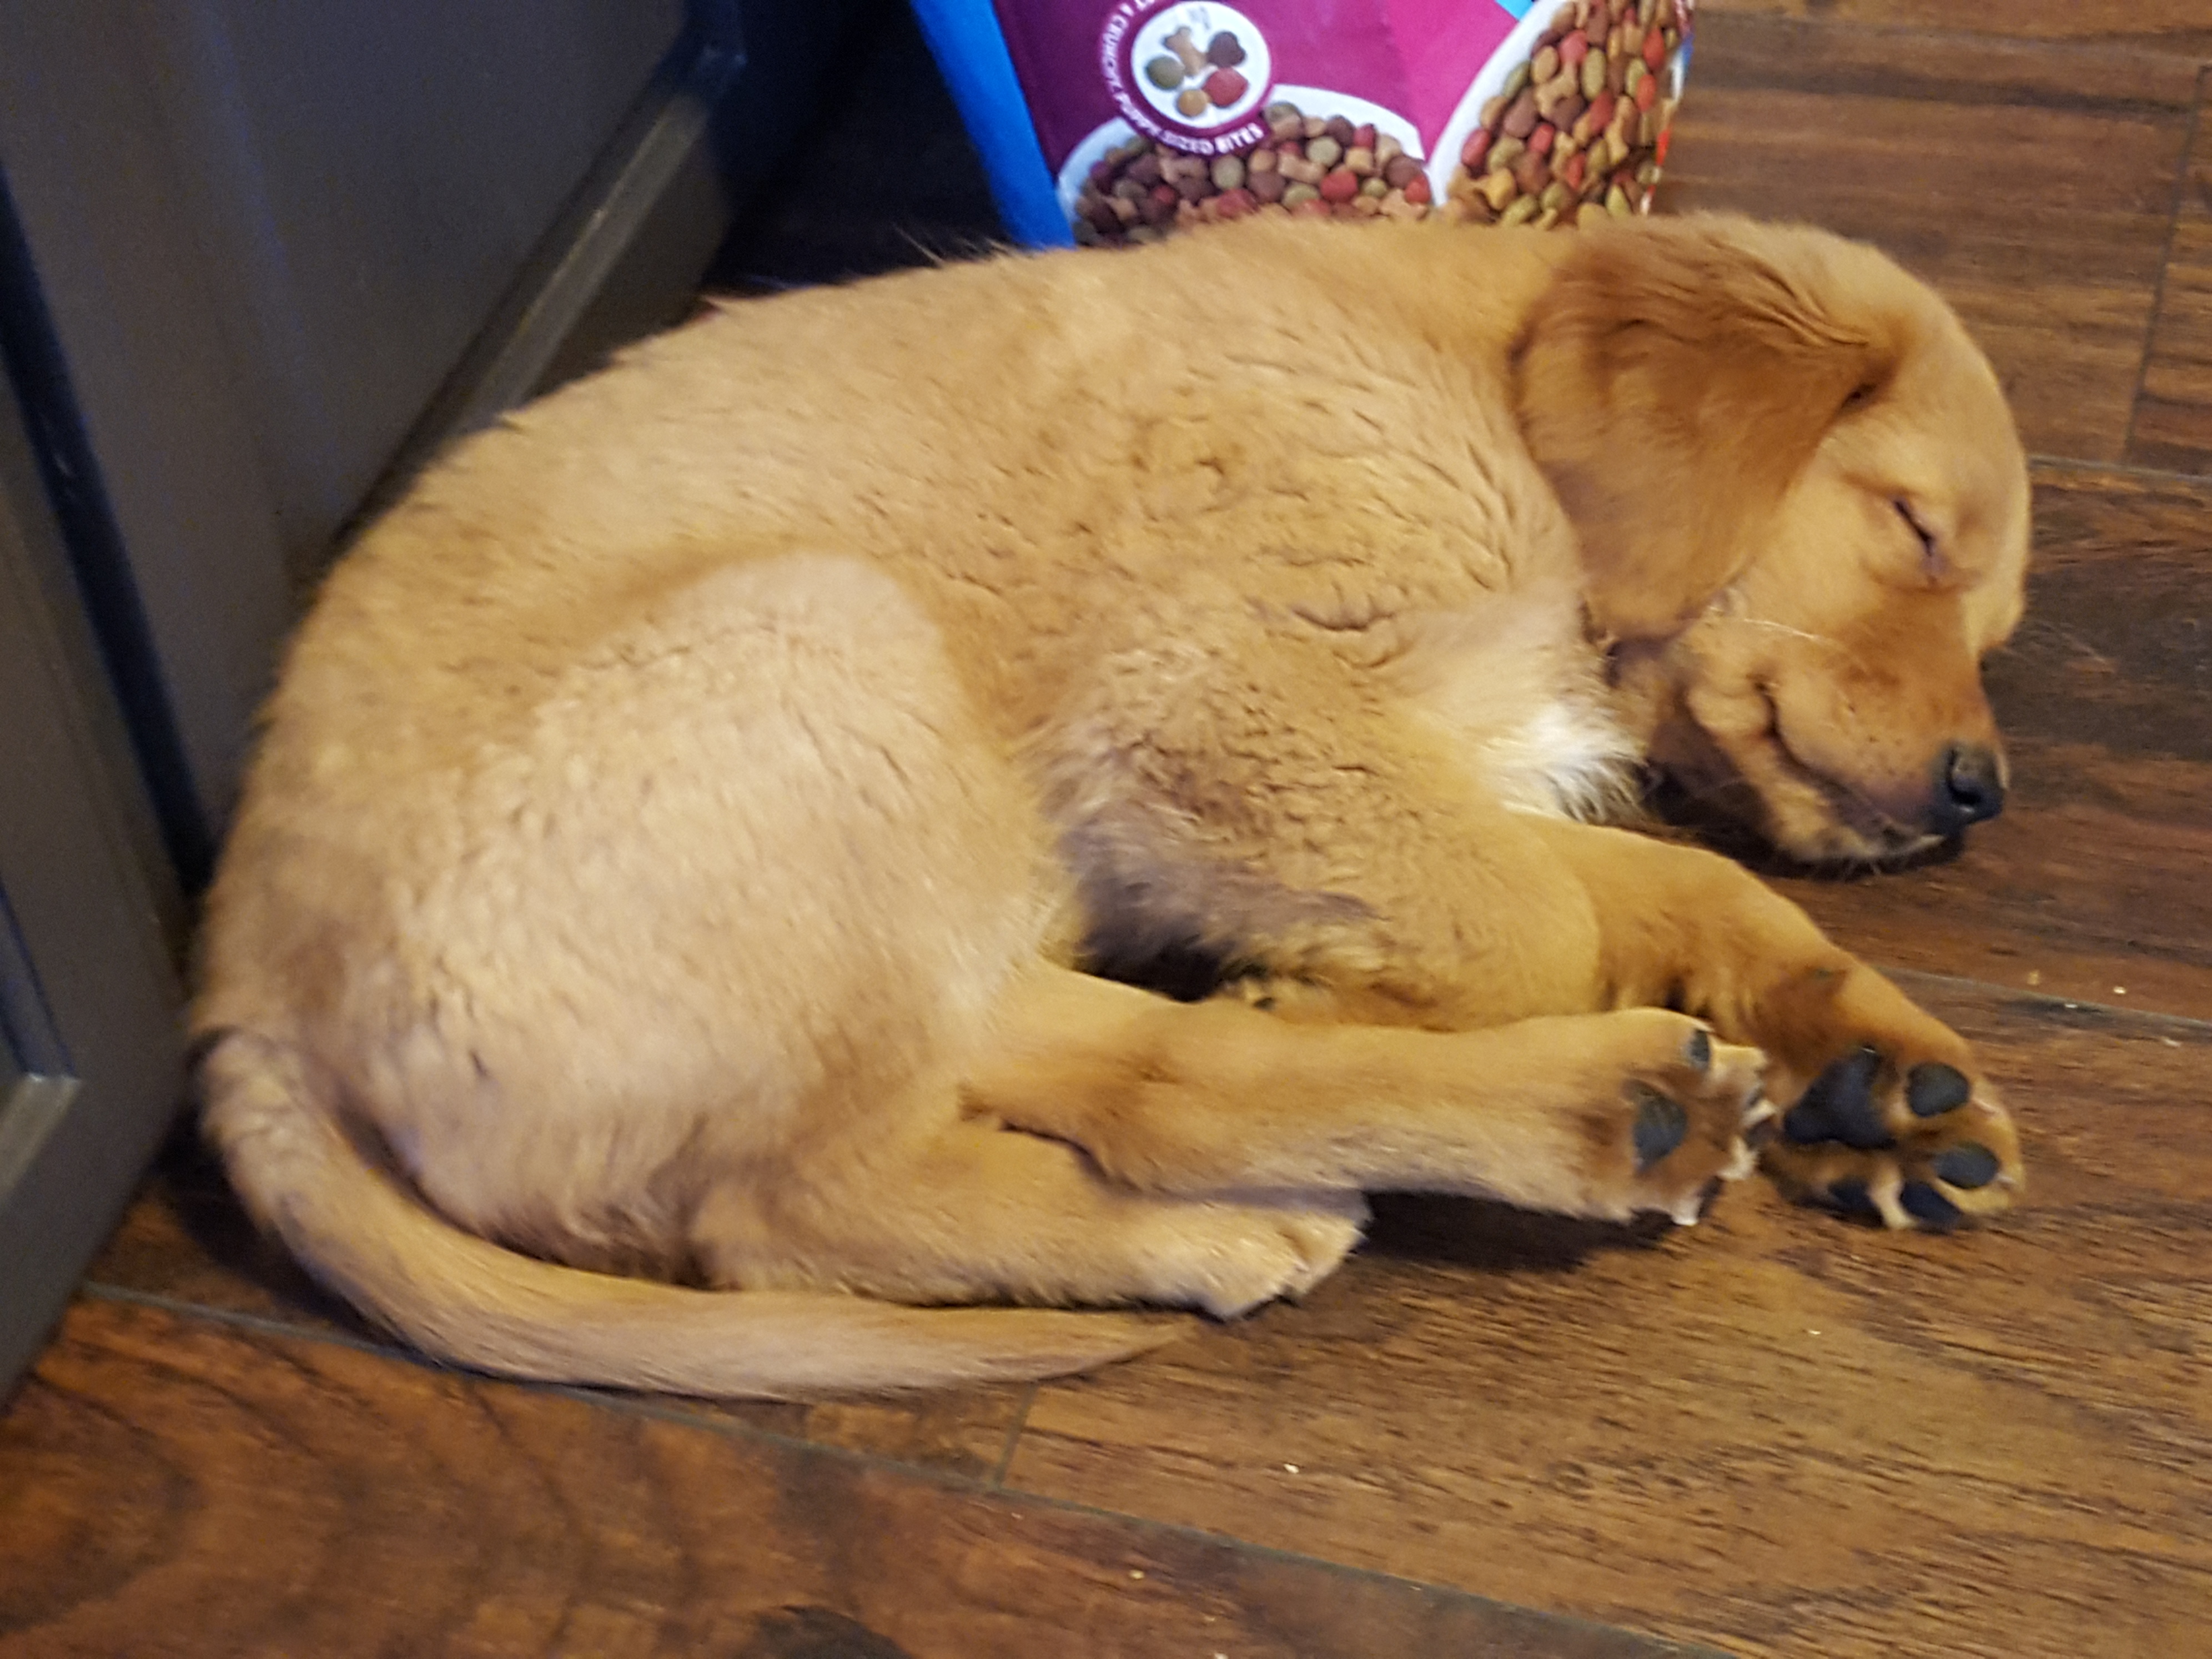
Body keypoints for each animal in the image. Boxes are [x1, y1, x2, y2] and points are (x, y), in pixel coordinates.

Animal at [194, 214, 2031, 1397]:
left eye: (1993, 628)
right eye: (1915, 531)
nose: (1977, 793)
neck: (1483, 386)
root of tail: (245, 1005)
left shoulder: (1387, 766)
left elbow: (1678, 893)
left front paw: (1877, 1071)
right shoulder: (1212, 694)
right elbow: (1540, 921)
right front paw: (1335, 987)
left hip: (916, 848)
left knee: (1126, 1081)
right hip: (824, 652)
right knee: (793, 1210)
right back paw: (1539, 1120)